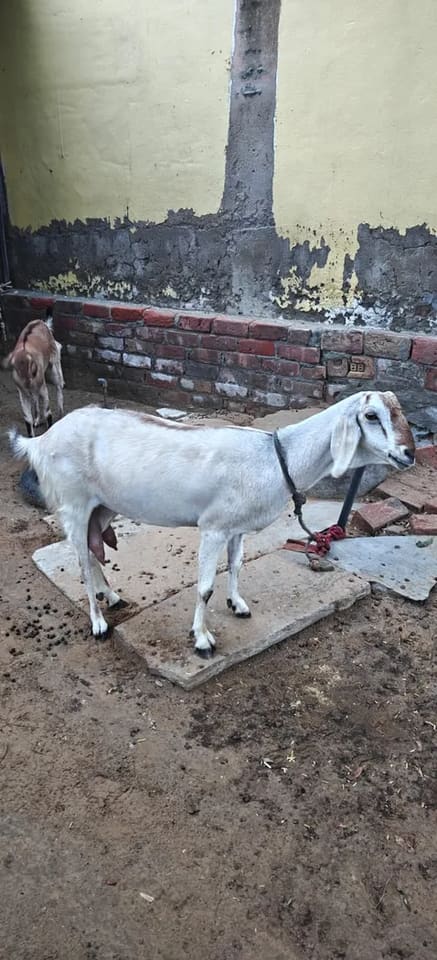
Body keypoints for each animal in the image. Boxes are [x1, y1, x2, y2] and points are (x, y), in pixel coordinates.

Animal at [9, 390, 414, 657]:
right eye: (371, 416)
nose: (408, 454)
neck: (274, 458)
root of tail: (40, 440)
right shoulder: (213, 528)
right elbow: (204, 587)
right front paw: (202, 639)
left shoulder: (236, 527)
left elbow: (235, 566)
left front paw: (238, 604)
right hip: (74, 503)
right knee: (80, 560)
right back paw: (98, 624)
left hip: (104, 506)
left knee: (93, 551)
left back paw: (111, 595)